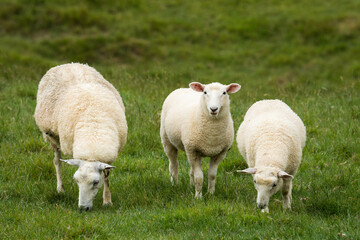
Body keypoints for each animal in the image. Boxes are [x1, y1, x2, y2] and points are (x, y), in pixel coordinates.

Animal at [33, 62, 126, 211]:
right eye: (76, 181)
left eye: (95, 182)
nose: (83, 208)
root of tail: (67, 64)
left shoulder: (108, 157)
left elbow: (106, 177)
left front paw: (107, 201)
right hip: (52, 136)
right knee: (57, 161)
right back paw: (60, 189)